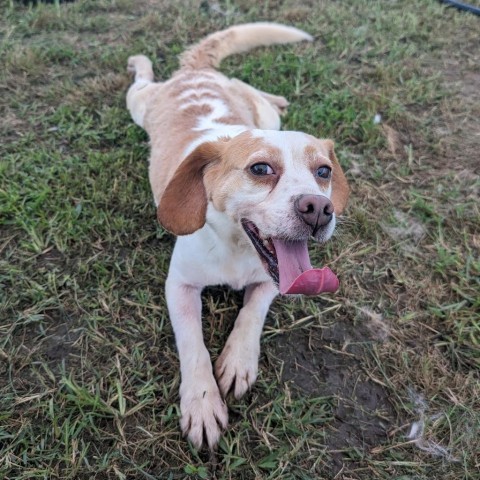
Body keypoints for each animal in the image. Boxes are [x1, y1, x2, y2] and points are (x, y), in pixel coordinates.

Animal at [126, 22, 348, 450]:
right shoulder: (179, 286)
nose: (318, 208)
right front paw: (201, 402)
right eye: (260, 168)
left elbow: (251, 314)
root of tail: (196, 72)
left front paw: (238, 362)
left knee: (253, 92)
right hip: (138, 103)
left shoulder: (269, 283)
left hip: (260, 114)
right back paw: (138, 60)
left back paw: (275, 97)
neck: (236, 250)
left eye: (324, 172)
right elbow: (192, 345)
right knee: (142, 79)